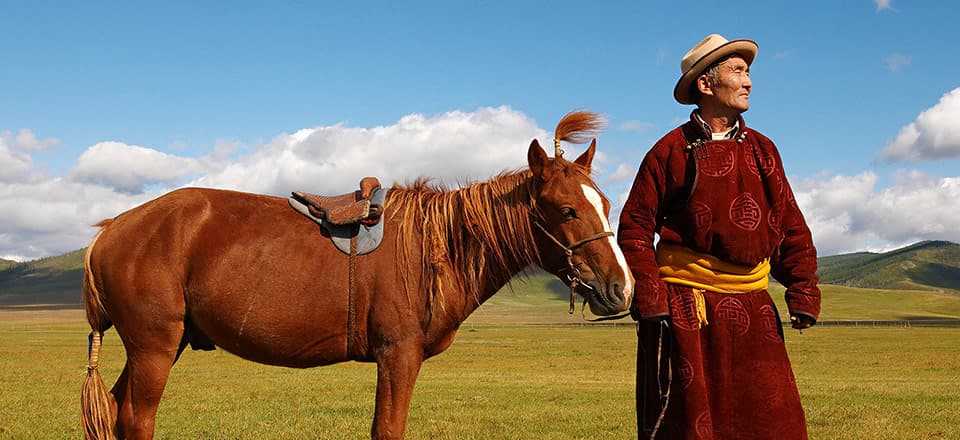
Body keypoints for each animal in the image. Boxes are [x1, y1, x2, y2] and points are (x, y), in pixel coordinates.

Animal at [82, 111, 632, 440]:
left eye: (605, 205)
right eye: (566, 210)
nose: (620, 288)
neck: (437, 249)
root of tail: (110, 230)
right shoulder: (398, 355)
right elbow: (387, 430)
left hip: (161, 345)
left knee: (115, 410)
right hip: (154, 346)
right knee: (136, 419)